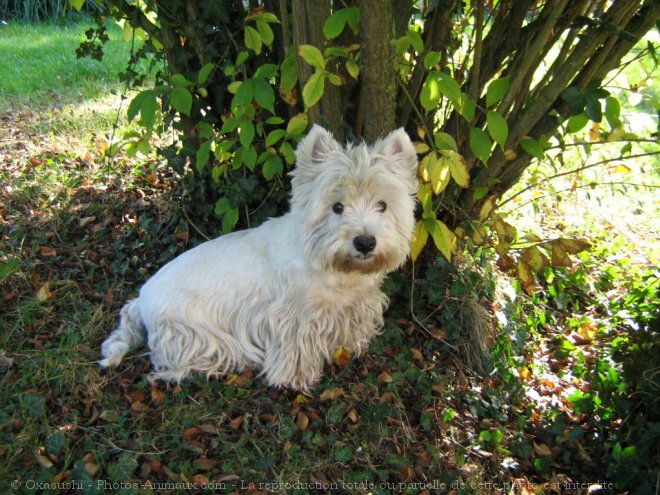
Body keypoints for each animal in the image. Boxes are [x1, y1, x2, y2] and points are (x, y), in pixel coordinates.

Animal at [98, 125, 418, 392]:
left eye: (382, 205)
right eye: (337, 207)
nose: (365, 242)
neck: (338, 272)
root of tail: (140, 299)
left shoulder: (352, 306)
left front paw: (349, 345)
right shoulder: (292, 317)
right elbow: (295, 349)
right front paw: (294, 377)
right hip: (190, 331)